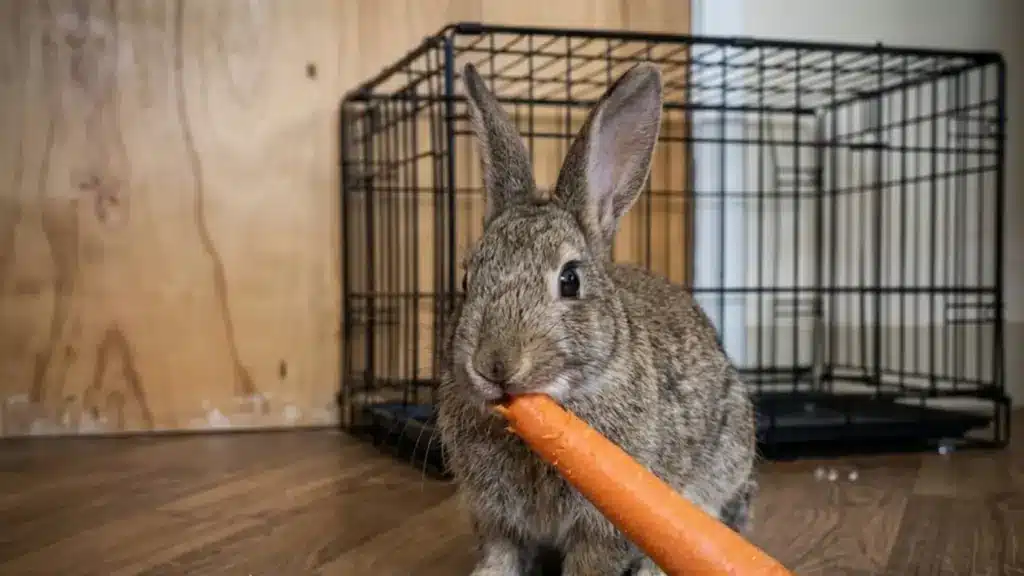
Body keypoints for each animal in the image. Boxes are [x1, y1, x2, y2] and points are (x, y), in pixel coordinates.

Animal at [436, 61, 758, 576]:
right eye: (468, 278)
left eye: (569, 280)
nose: (495, 365)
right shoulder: (496, 519)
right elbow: (499, 557)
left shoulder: (605, 526)